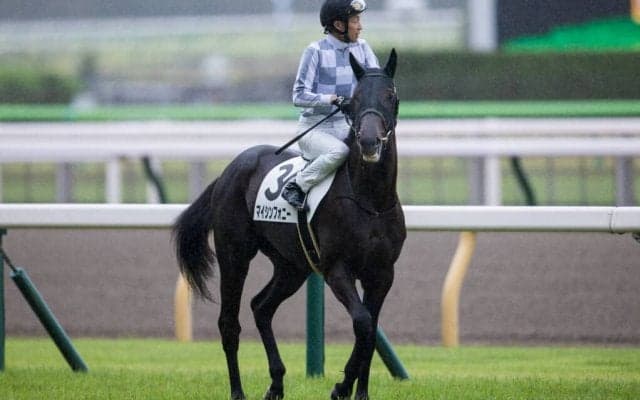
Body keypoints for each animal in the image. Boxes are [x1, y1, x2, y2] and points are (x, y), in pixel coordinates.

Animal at [173, 49, 405, 400]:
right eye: (353, 99)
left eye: (390, 96)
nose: (368, 142)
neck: (370, 202)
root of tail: (230, 169)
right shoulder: (337, 269)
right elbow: (363, 323)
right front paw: (340, 387)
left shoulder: (382, 273)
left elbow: (369, 330)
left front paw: (358, 391)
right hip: (234, 254)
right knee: (229, 322)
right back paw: (238, 391)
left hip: (291, 265)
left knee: (261, 307)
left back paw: (276, 384)